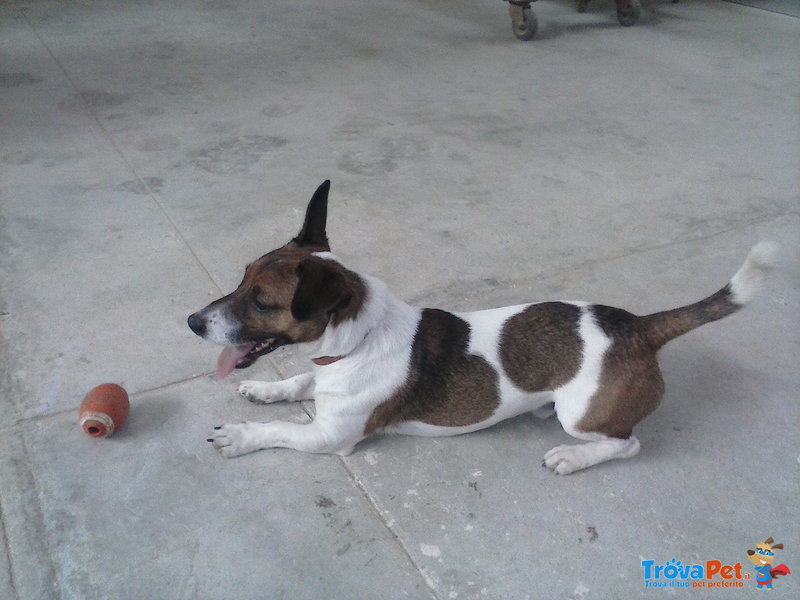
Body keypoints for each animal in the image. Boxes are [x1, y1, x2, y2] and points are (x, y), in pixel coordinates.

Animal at [188, 180, 776, 472]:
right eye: (241, 277)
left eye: (262, 301)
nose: (192, 322)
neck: (356, 343)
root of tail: (638, 327)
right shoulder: (323, 378)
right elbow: (300, 382)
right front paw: (267, 390)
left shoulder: (331, 436)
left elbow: (282, 431)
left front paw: (241, 434)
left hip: (581, 413)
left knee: (626, 444)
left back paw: (573, 457)